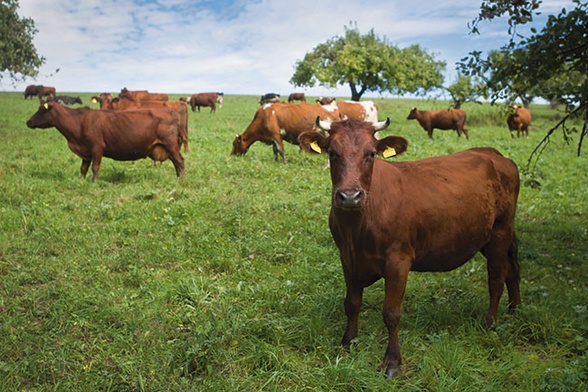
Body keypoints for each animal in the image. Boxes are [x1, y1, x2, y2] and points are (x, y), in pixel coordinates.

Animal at [24, 101, 184, 181]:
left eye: (41, 110)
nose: (28, 121)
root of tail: (172, 111)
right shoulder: (85, 151)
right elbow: (83, 168)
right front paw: (81, 181)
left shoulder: (97, 147)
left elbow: (95, 167)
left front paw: (94, 182)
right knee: (177, 163)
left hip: (171, 145)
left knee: (180, 161)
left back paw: (181, 180)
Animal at [298, 118, 520, 378]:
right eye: (333, 153)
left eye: (371, 154)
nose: (350, 196)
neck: (357, 230)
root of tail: (493, 154)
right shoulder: (347, 258)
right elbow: (351, 304)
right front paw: (347, 343)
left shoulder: (398, 260)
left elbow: (391, 312)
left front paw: (392, 362)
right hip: (484, 235)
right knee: (511, 270)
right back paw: (515, 310)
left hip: (500, 230)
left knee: (496, 277)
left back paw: (490, 322)